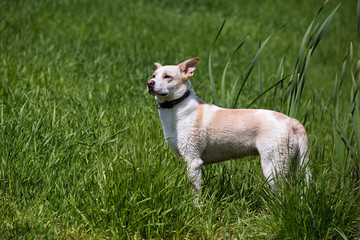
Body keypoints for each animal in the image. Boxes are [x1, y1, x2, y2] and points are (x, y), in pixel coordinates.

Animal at [148, 56, 310, 199]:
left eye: (167, 76)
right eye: (154, 75)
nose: (149, 83)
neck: (176, 107)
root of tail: (291, 120)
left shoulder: (193, 161)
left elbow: (195, 193)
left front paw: (196, 209)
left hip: (273, 168)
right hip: (291, 165)